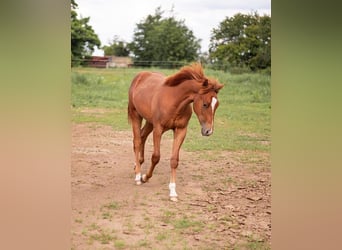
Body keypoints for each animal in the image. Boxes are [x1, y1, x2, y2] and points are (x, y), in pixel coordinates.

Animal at [127, 63, 223, 201]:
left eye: (217, 105)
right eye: (205, 104)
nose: (208, 131)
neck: (174, 101)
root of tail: (140, 75)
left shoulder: (181, 130)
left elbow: (174, 160)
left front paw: (172, 192)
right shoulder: (158, 129)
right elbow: (156, 157)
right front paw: (144, 177)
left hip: (149, 121)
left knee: (142, 135)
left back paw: (138, 163)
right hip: (136, 115)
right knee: (137, 141)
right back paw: (137, 175)